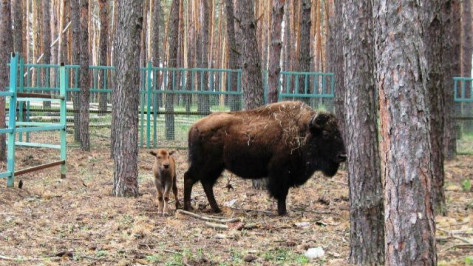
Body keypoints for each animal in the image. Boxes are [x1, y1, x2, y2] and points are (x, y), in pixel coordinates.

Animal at [183, 101, 344, 215]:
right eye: (326, 134)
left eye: (339, 132)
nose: (343, 155)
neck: (302, 131)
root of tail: (194, 127)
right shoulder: (280, 172)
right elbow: (281, 193)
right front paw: (283, 212)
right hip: (205, 164)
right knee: (189, 177)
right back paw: (188, 207)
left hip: (216, 167)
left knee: (206, 183)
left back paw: (216, 209)